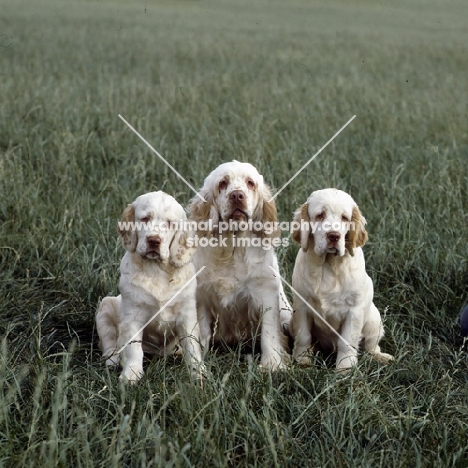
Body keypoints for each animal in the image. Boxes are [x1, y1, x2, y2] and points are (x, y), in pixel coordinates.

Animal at [96, 191, 204, 384]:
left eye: (169, 223)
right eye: (145, 219)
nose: (154, 240)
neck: (156, 270)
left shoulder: (187, 314)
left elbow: (192, 345)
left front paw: (198, 373)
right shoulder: (132, 315)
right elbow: (133, 348)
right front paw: (131, 374)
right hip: (105, 307)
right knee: (108, 341)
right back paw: (113, 359)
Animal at [187, 160, 290, 370]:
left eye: (250, 183)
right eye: (222, 183)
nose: (236, 195)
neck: (233, 248)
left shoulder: (265, 292)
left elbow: (269, 333)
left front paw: (272, 365)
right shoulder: (202, 297)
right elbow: (203, 332)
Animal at [290, 188, 394, 372]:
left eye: (345, 218)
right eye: (320, 215)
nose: (334, 236)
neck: (328, 264)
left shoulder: (354, 310)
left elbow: (347, 342)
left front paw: (344, 370)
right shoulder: (301, 305)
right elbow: (303, 335)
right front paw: (302, 361)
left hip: (375, 320)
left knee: (371, 346)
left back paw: (382, 357)